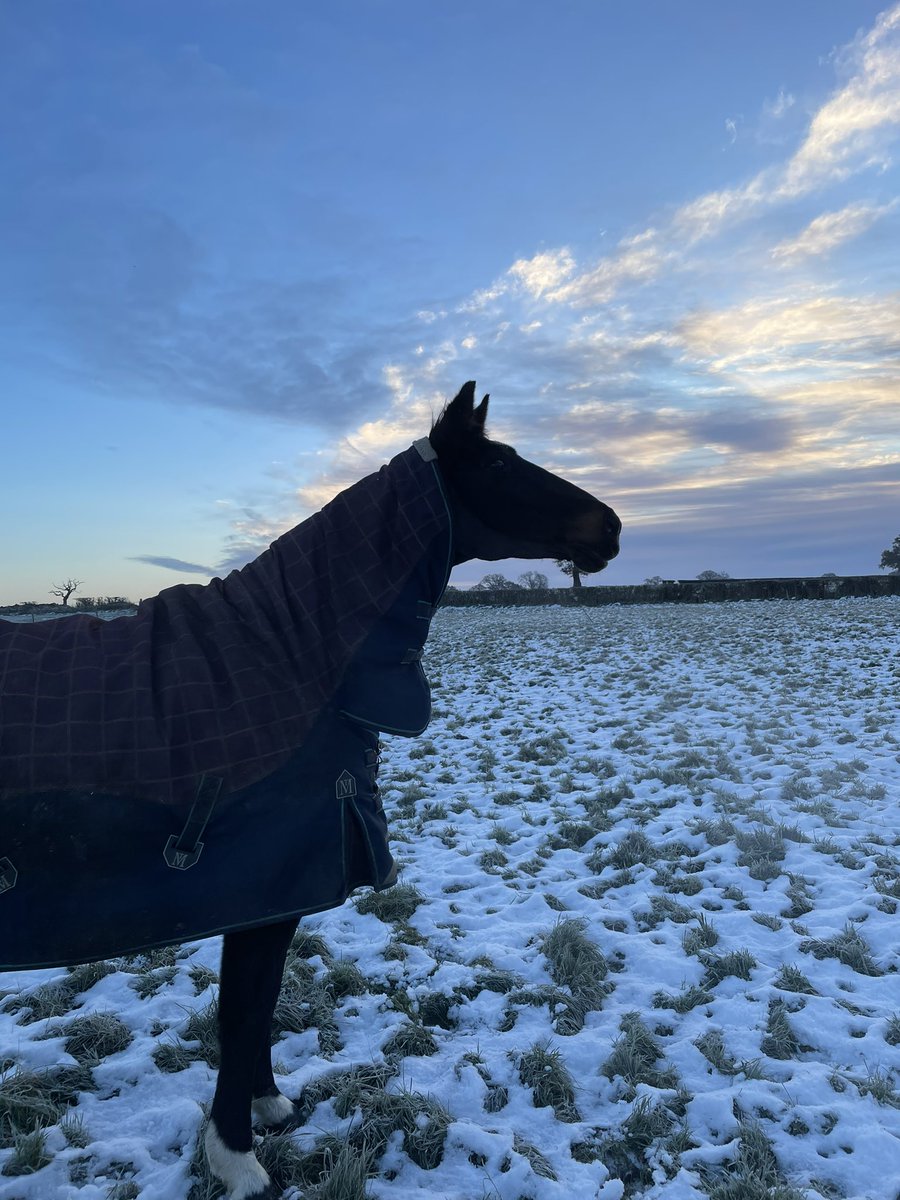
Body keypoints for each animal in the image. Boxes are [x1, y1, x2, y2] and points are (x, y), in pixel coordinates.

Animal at [0, 382, 620, 1199]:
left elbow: (260, 1006)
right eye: (495, 463)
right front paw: (237, 1158)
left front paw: (268, 1108)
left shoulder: (281, 893)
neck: (290, 657)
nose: (611, 527)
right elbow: (241, 1012)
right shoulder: (261, 889)